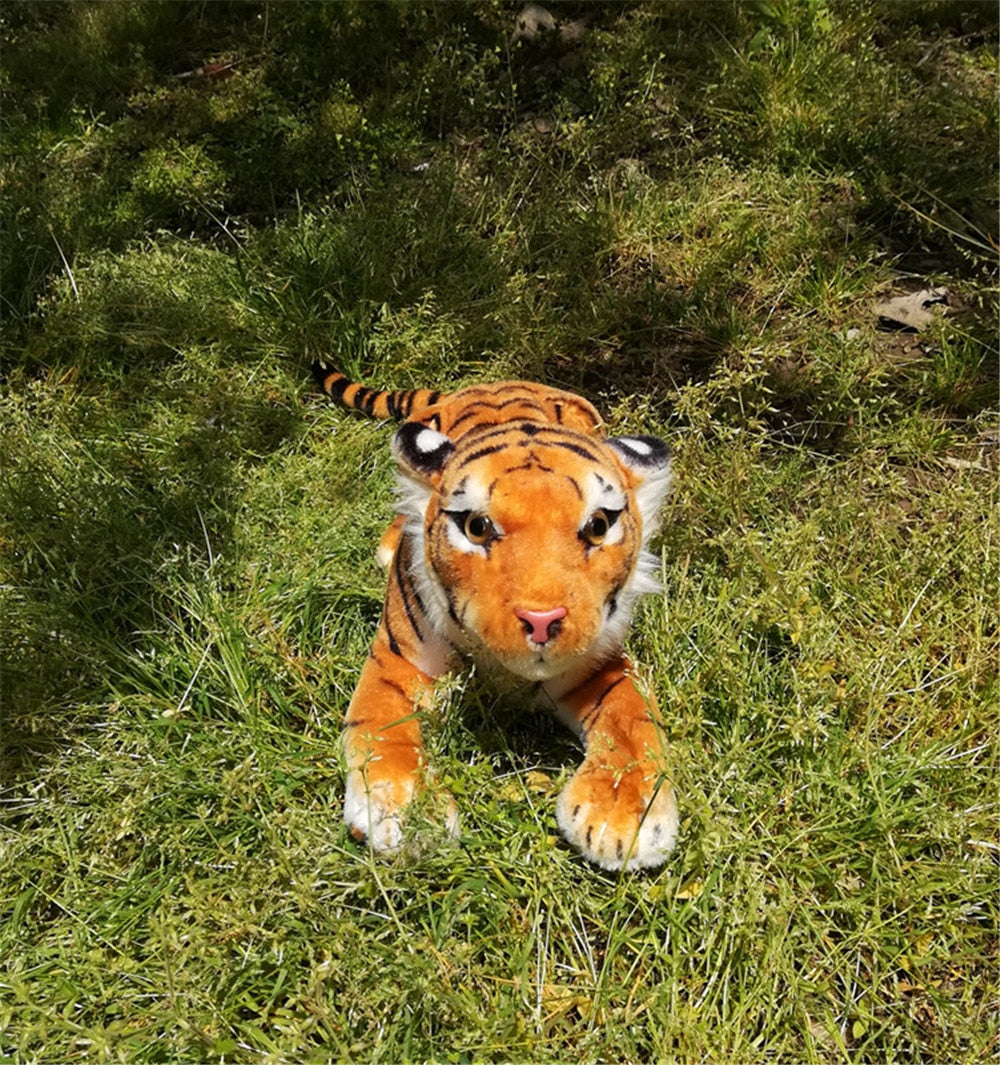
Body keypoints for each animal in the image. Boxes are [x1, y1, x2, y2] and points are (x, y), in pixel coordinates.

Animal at [313, 362, 678, 871]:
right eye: (476, 527)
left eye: (598, 526)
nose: (542, 620)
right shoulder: (398, 664)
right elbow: (382, 735)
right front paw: (407, 814)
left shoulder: (601, 665)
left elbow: (634, 726)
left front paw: (623, 815)